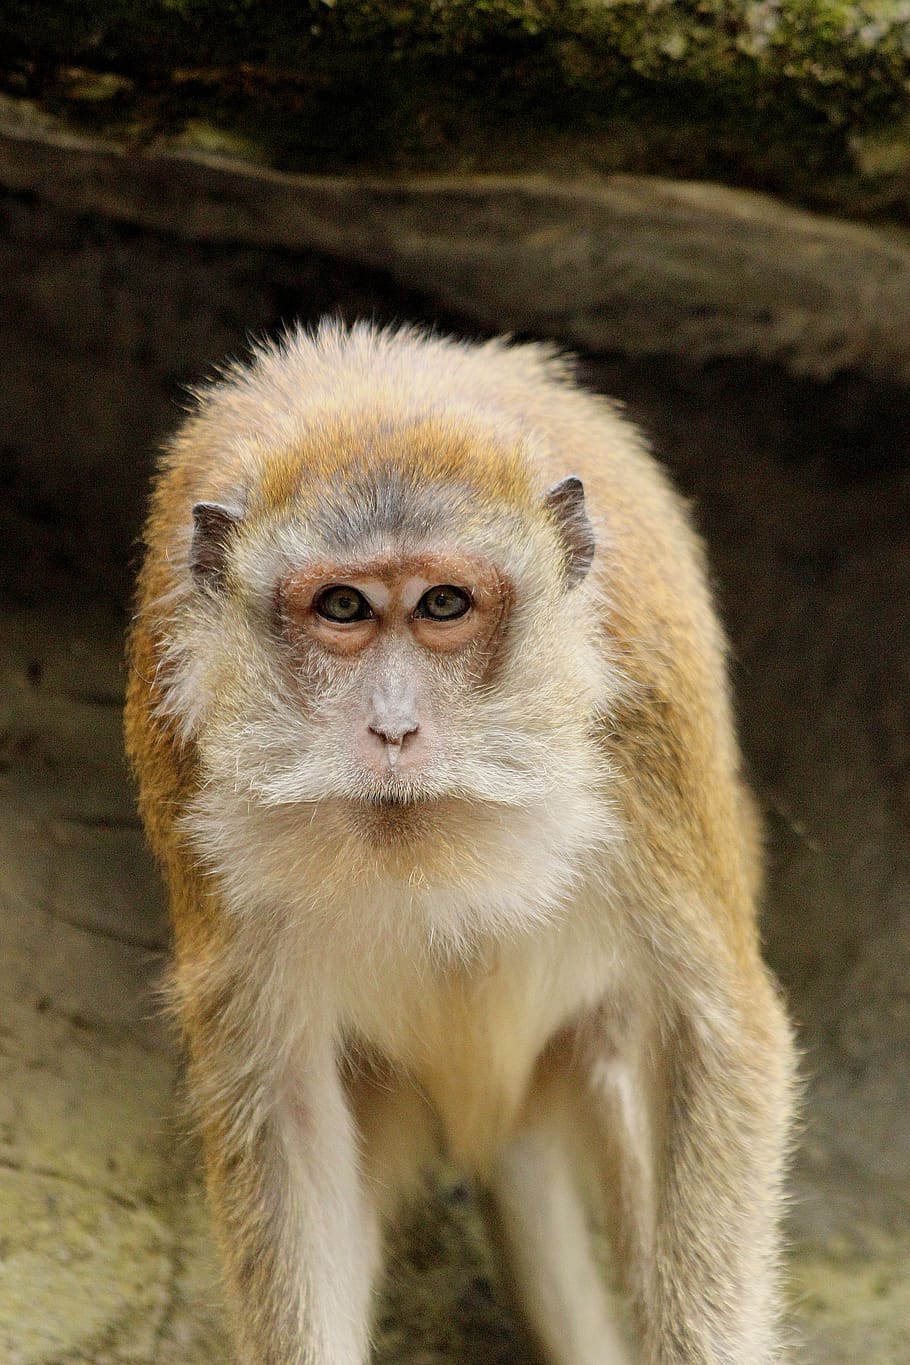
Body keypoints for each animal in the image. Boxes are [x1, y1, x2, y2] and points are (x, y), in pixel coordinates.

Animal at [125, 319, 796, 1365]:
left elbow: (708, 1034)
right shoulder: (178, 721)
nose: (394, 728)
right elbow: (283, 1105)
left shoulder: (644, 704)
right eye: (344, 608)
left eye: (444, 604)